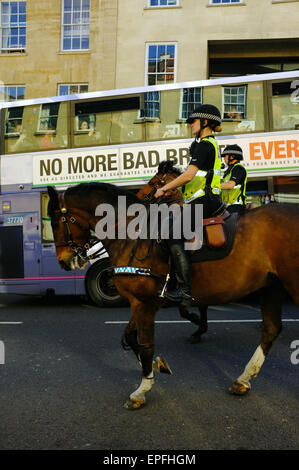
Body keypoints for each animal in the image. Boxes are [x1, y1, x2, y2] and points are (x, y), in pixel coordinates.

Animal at [48, 182, 299, 410]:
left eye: (56, 220)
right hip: (271, 287)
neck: (132, 236)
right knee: (271, 329)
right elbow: (130, 337)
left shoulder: (143, 303)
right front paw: (156, 366)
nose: (64, 261)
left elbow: (146, 343)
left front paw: (142, 389)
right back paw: (243, 379)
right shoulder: (143, 301)